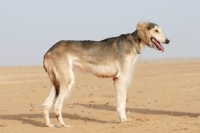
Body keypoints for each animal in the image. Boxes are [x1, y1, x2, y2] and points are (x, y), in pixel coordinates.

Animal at [39, 21, 170, 127]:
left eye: (161, 30)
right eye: (156, 30)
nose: (168, 41)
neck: (132, 43)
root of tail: (49, 50)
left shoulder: (117, 79)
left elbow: (122, 102)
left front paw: (124, 119)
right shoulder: (121, 79)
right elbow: (122, 102)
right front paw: (123, 120)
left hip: (57, 82)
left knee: (46, 105)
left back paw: (49, 125)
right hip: (67, 80)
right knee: (56, 106)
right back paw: (64, 125)